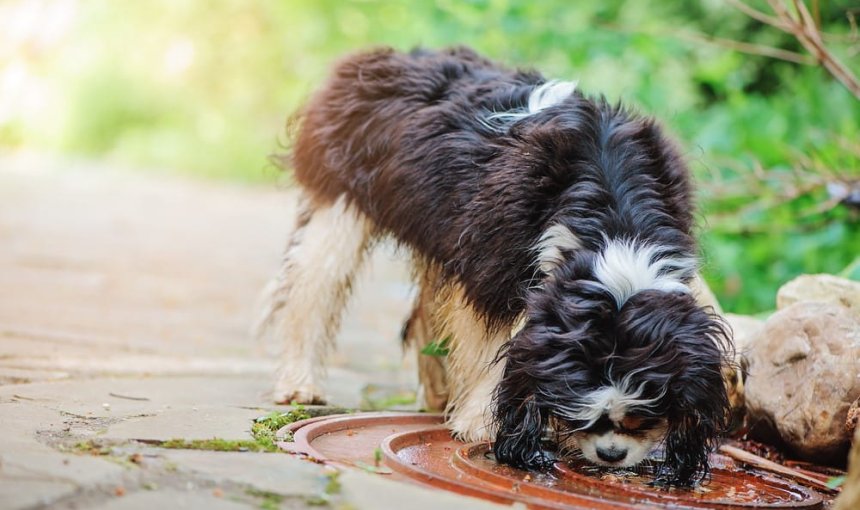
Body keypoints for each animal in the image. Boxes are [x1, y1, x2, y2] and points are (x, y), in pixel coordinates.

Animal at [256, 45, 740, 484]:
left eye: (645, 416)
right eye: (586, 415)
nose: (611, 455)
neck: (613, 218)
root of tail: (385, 56)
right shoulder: (490, 263)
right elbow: (490, 343)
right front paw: (480, 424)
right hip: (340, 200)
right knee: (313, 284)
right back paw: (299, 383)